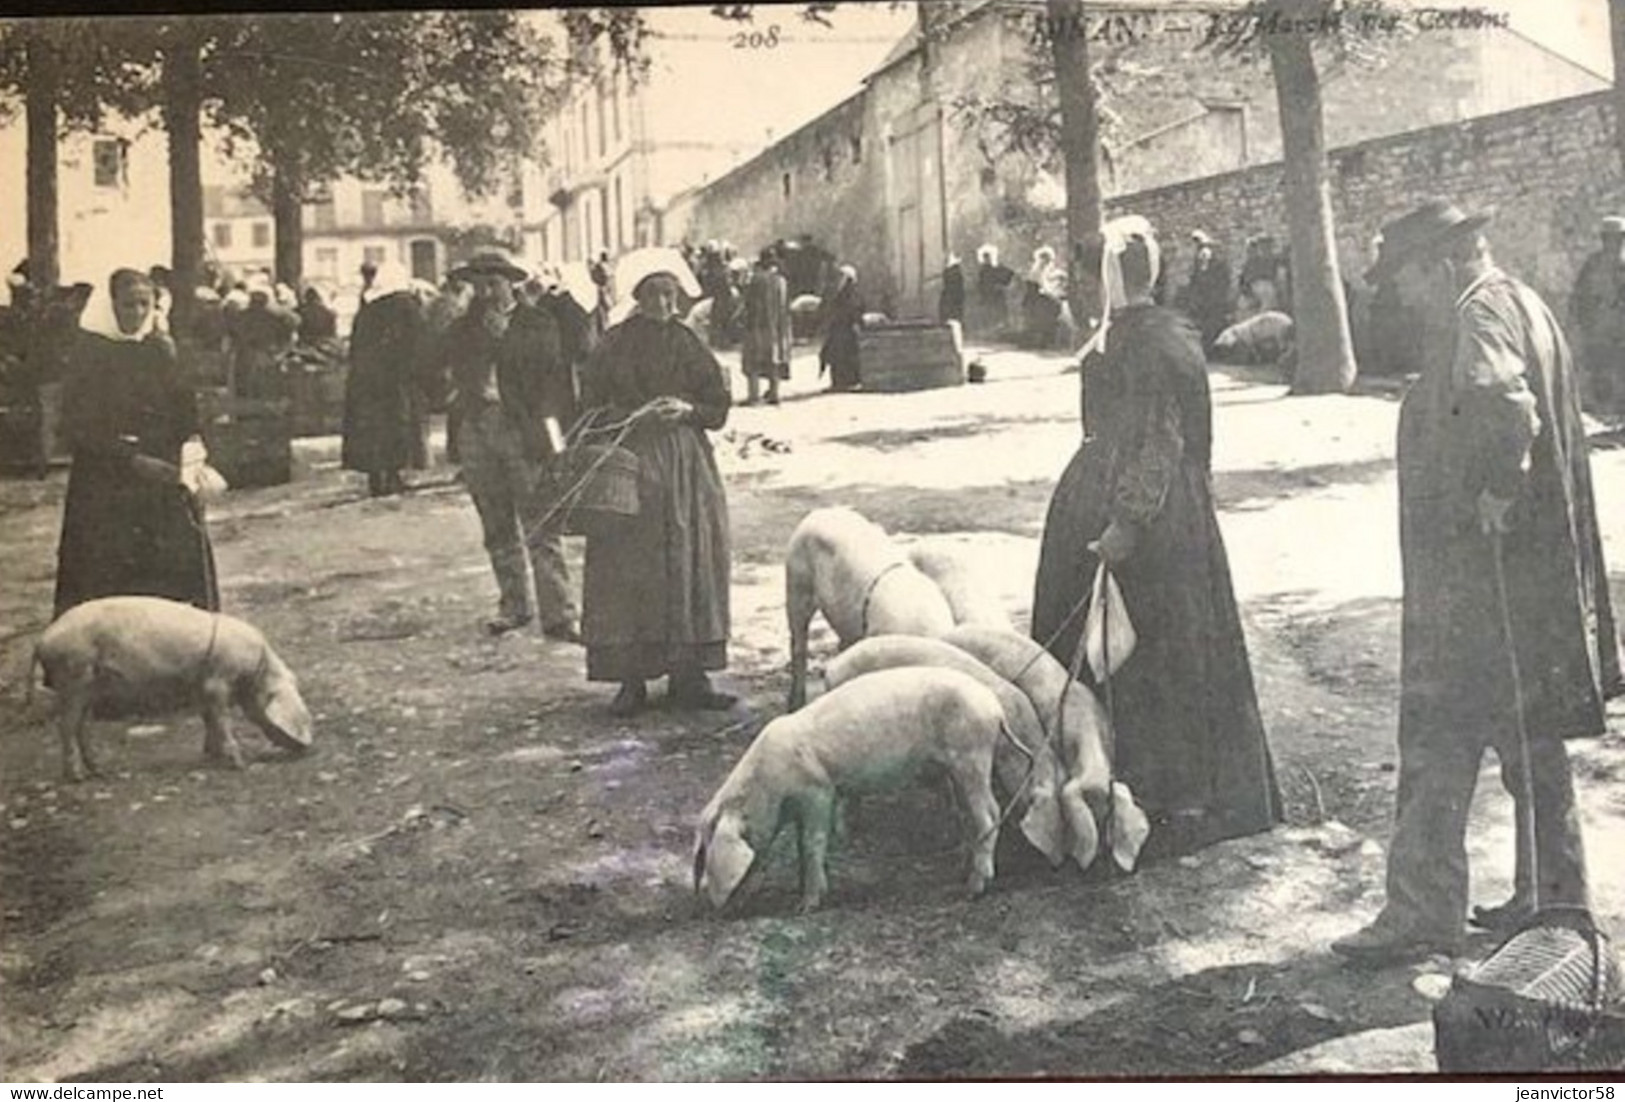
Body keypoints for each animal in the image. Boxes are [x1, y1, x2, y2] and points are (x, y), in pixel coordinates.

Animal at [34, 594, 313, 786]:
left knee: (82, 726)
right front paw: (239, 763)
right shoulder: (217, 682)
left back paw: (100, 771)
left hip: (90, 685)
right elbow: (222, 719)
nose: (307, 750)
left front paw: (211, 755)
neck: (255, 670)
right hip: (73, 676)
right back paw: (77, 777)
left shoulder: (201, 685)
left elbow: (209, 718)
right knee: (66, 725)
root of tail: (43, 639)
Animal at [695, 666, 1014, 916]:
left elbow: (812, 843)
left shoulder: (819, 791)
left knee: (988, 815)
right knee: (979, 814)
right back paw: (962, 872)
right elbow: (800, 844)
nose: (719, 912)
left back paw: (974, 889)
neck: (770, 789)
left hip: (972, 756)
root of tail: (994, 706)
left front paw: (806, 906)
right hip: (960, 767)